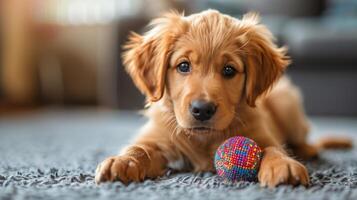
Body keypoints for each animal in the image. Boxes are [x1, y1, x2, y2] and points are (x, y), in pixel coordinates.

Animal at [93, 9, 350, 188]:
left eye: (229, 70)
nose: (202, 109)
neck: (204, 139)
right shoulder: (158, 138)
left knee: (301, 138)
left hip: (287, 104)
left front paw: (283, 164)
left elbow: (272, 149)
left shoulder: (262, 135)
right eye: (183, 66)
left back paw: (308, 150)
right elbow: (140, 148)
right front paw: (123, 161)